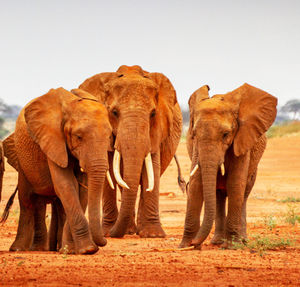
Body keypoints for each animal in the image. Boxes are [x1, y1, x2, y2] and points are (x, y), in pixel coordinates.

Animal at [2, 88, 113, 254]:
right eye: (78, 137)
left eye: (109, 136)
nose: (104, 241)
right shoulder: (52, 141)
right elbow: (65, 185)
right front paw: (87, 249)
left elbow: (81, 190)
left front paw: (70, 249)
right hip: (22, 160)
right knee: (27, 200)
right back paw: (21, 249)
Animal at [79, 65, 183, 238]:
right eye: (114, 112)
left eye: (153, 114)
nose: (113, 233)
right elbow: (109, 172)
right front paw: (108, 232)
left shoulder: (156, 131)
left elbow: (152, 168)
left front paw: (153, 235)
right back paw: (129, 230)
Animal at [179, 84, 278, 250]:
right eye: (194, 134)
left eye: (226, 134)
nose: (195, 243)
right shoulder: (196, 148)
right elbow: (196, 185)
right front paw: (184, 246)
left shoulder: (242, 139)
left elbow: (235, 183)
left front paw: (232, 246)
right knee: (219, 195)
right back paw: (218, 241)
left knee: (244, 194)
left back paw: (241, 240)